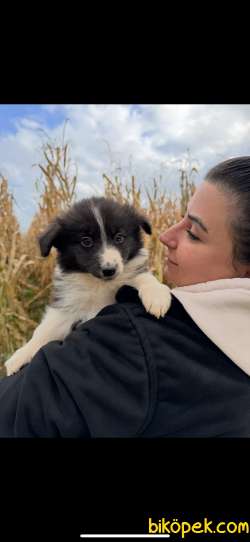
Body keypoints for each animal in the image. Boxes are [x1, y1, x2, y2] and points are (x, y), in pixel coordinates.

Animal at [4, 197, 171, 378]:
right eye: (86, 242)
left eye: (119, 238)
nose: (109, 270)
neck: (98, 284)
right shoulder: (66, 305)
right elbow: (45, 330)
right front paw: (19, 356)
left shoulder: (130, 273)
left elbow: (144, 277)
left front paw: (157, 297)